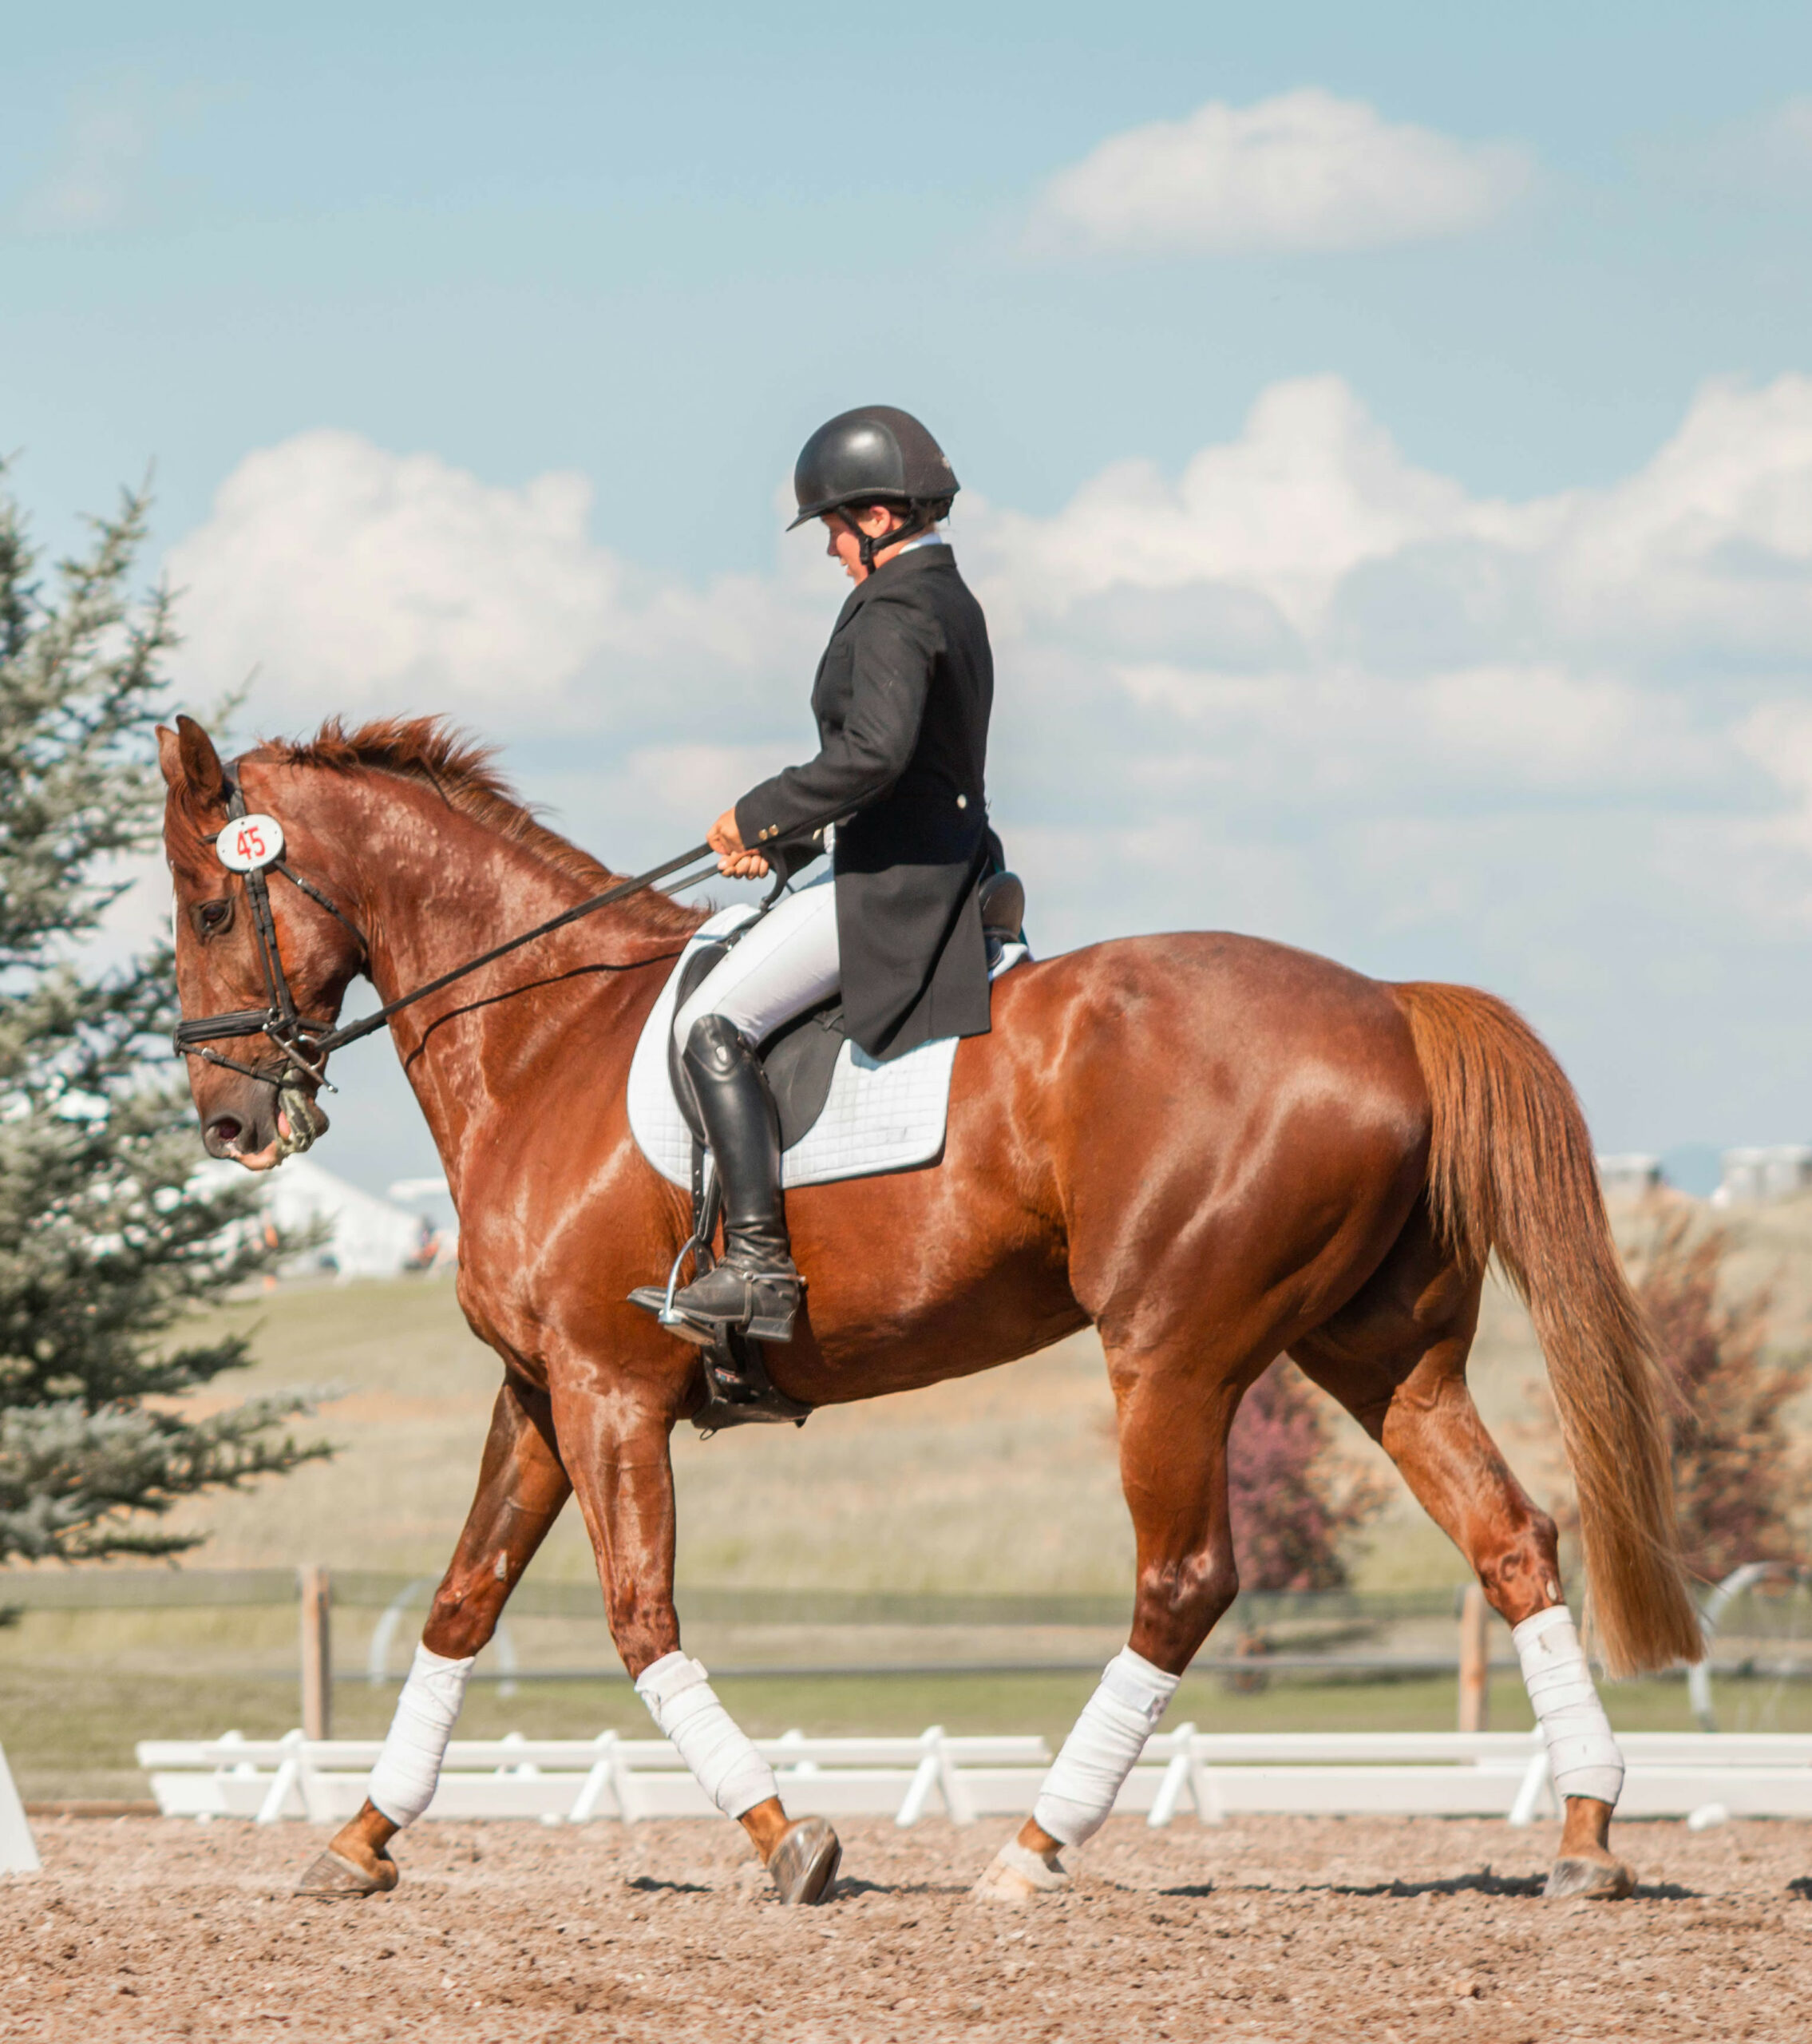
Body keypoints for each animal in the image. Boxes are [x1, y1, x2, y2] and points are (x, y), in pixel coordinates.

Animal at [160, 711, 1701, 1905]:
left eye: (209, 905)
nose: (230, 1124)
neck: (543, 1035)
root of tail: (1386, 1007)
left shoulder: (609, 1391)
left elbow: (639, 1617)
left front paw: (787, 1839)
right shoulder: (541, 1391)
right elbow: (464, 1602)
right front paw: (359, 1840)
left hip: (1173, 1357)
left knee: (1183, 1582)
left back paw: (1032, 1847)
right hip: (1384, 1356)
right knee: (1509, 1539)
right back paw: (1585, 1834)